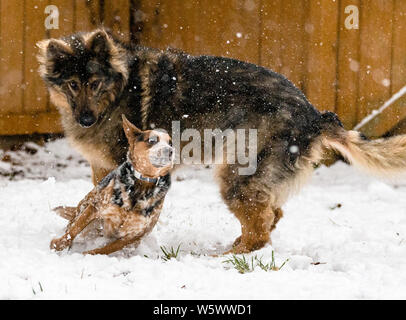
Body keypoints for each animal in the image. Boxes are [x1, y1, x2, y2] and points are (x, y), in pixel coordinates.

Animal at [50, 115, 174, 255]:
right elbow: (75, 229)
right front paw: (59, 244)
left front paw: (86, 255)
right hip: (85, 206)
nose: (170, 151)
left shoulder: (132, 237)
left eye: (170, 143)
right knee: (74, 224)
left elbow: (103, 249)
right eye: (152, 140)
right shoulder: (95, 207)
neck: (143, 184)